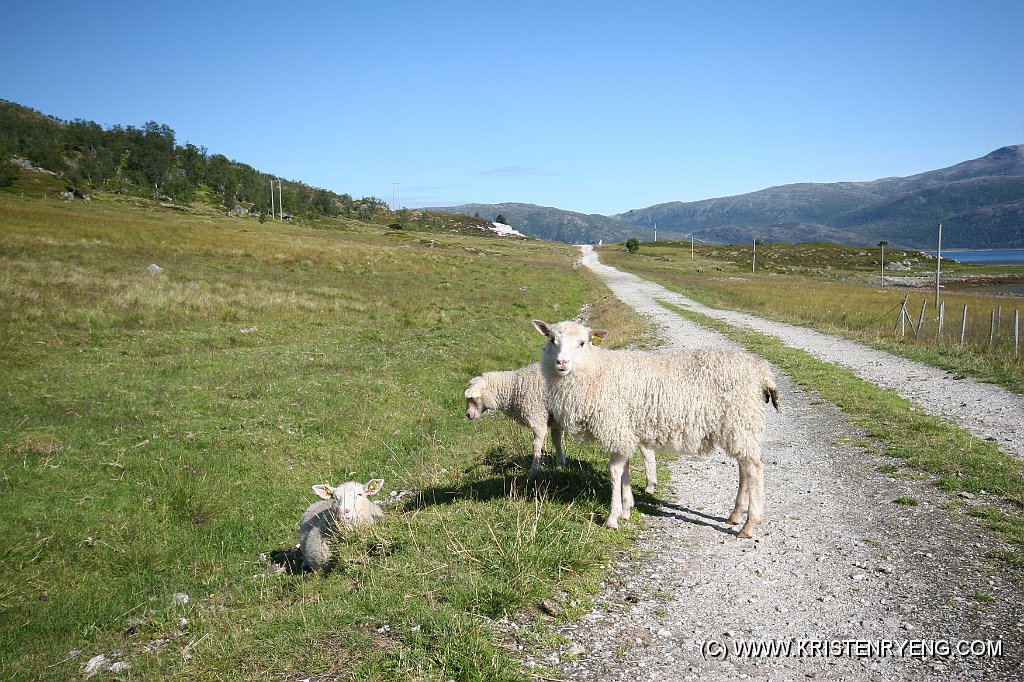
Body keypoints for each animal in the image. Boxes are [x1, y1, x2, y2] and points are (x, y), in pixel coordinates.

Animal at [464, 364, 655, 485]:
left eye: (472, 397)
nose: (468, 415)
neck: (514, 389)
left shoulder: (537, 416)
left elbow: (537, 445)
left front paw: (534, 472)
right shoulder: (553, 419)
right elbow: (556, 440)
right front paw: (560, 464)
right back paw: (650, 482)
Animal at [532, 319, 778, 536]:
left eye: (582, 343)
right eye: (552, 340)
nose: (562, 363)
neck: (596, 371)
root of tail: (761, 370)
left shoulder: (617, 426)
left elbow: (614, 470)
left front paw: (613, 517)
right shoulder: (626, 430)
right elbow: (625, 468)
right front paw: (627, 508)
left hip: (741, 419)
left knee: (753, 468)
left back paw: (749, 524)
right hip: (739, 426)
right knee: (744, 467)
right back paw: (736, 515)